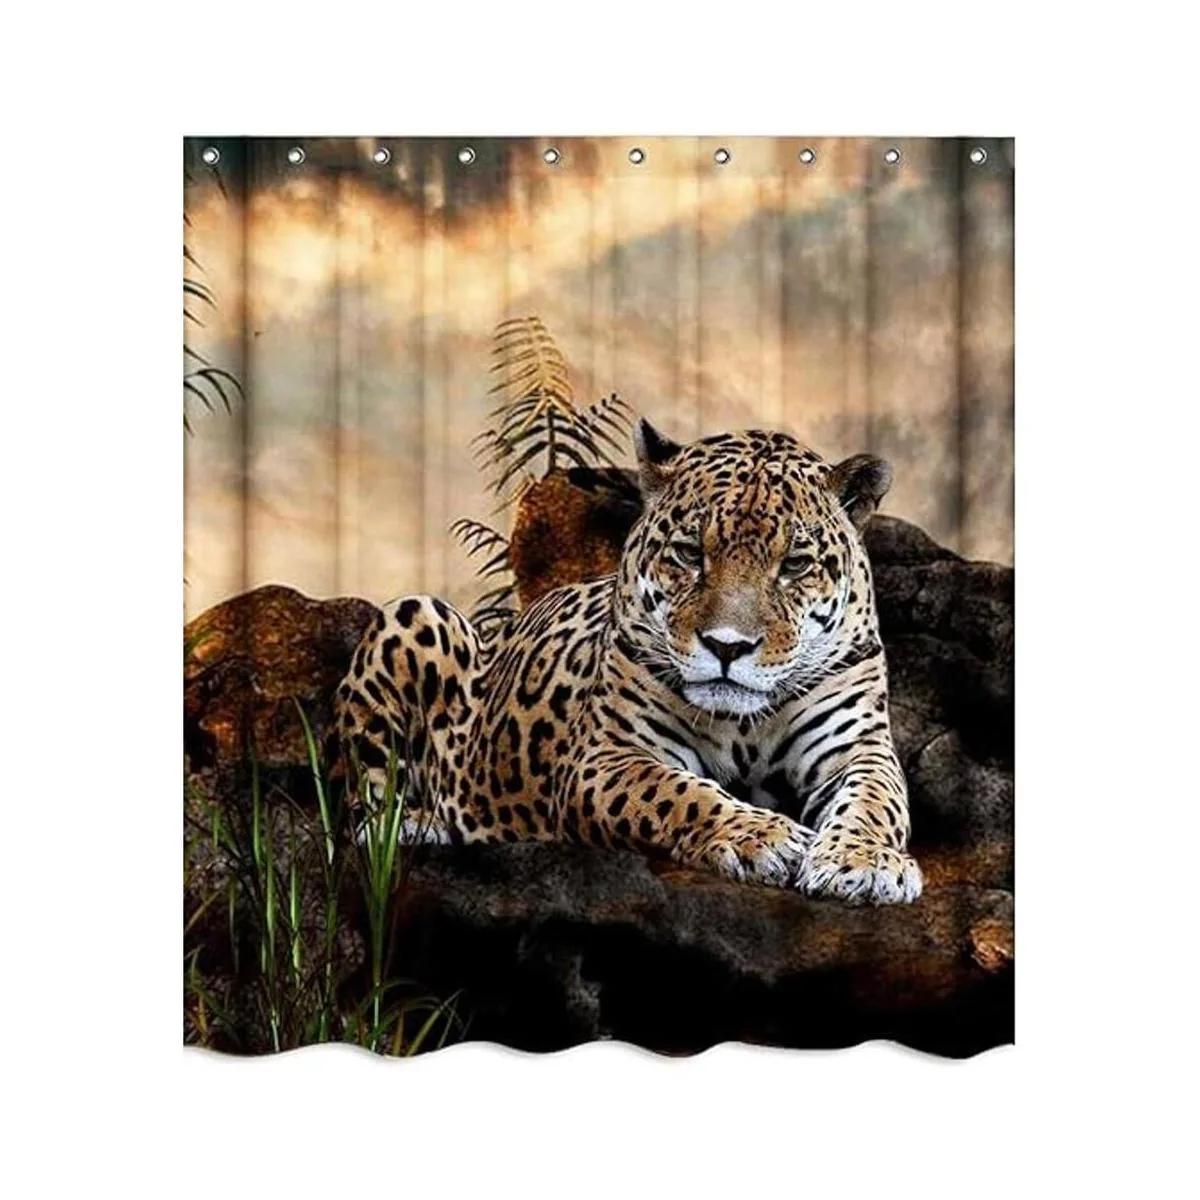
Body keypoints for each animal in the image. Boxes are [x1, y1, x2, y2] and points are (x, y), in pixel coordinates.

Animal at [333, 420, 922, 904]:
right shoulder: (607, 758)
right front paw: (766, 837)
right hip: (416, 614)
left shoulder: (856, 748)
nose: (727, 646)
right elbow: (678, 794)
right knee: (361, 811)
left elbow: (876, 801)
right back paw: (416, 825)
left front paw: (866, 863)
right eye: (690, 553)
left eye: (795, 564)